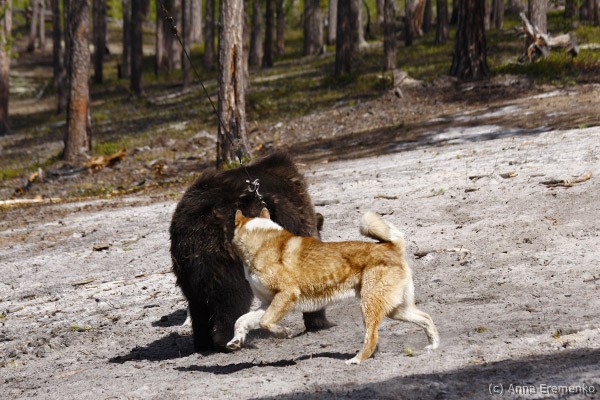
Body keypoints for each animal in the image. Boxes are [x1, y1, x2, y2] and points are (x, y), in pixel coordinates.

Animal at [169, 151, 330, 351]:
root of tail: (200, 221)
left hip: (186, 263)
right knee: (232, 297)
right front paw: (320, 322)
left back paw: (202, 343)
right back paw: (227, 340)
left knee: (198, 303)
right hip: (228, 258)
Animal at [226, 208, 439, 364]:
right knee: (426, 318)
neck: (261, 243)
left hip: (370, 305)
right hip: (395, 309)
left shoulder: (287, 294)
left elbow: (265, 323)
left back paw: (356, 360)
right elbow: (241, 320)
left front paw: (283, 332)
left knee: (371, 338)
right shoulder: (267, 303)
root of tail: (391, 246)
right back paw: (433, 345)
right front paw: (236, 341)